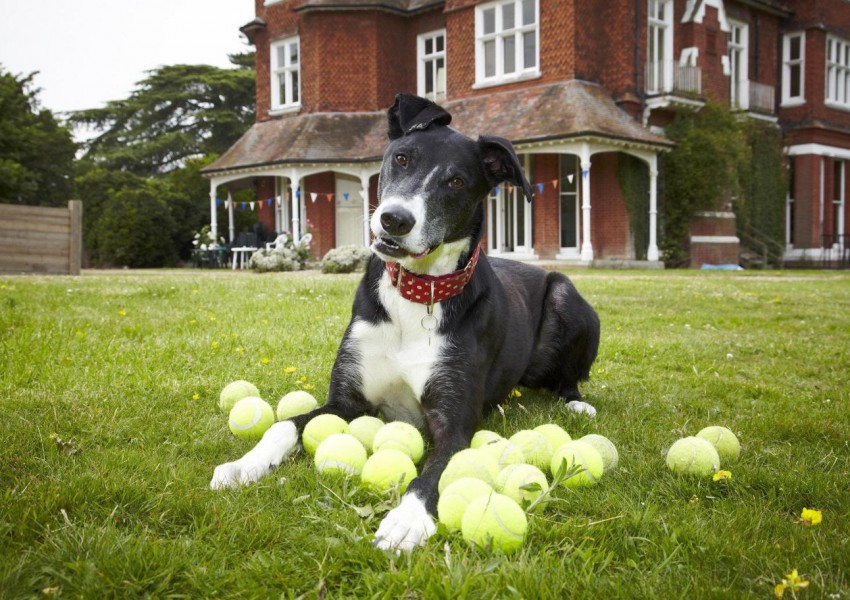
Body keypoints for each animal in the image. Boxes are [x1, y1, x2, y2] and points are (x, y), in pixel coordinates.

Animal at [210, 92, 600, 552]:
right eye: (401, 158)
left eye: (456, 182)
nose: (395, 219)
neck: (417, 296)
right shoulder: (347, 401)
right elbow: (283, 425)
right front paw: (244, 464)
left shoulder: (454, 424)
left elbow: (438, 472)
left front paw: (407, 518)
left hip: (565, 293)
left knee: (569, 376)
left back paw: (576, 402)